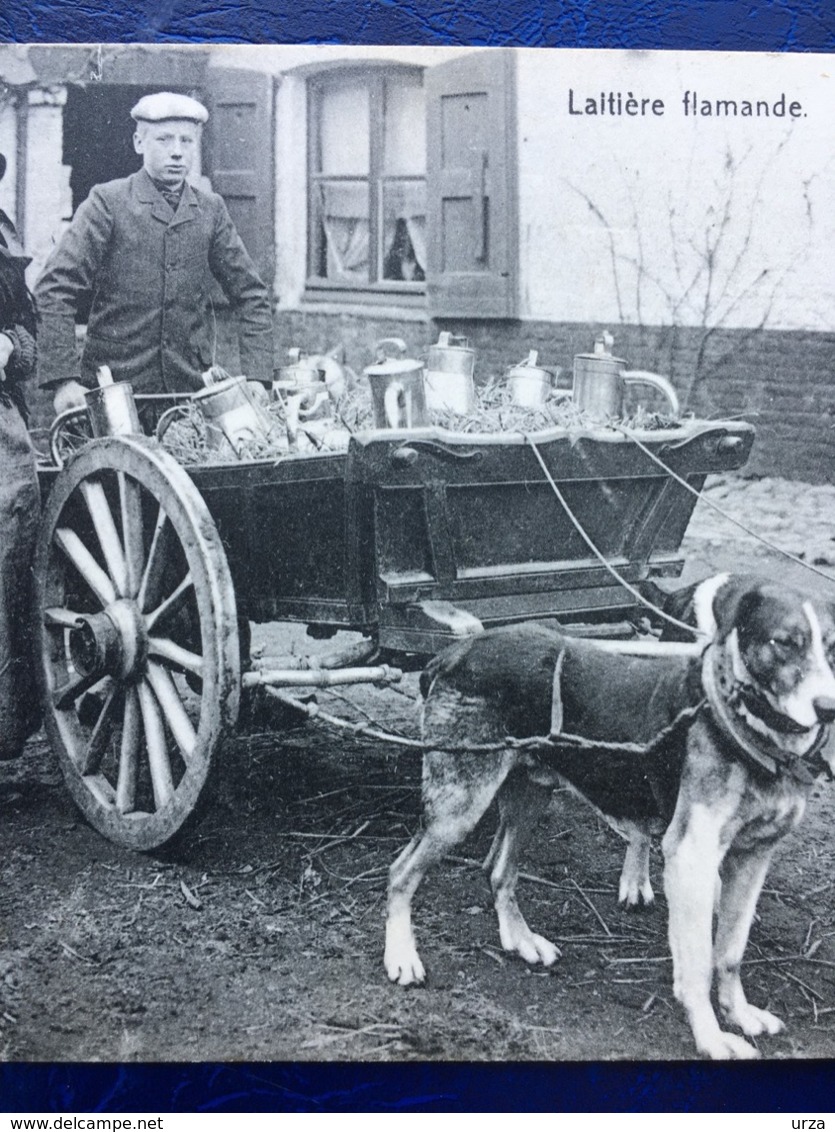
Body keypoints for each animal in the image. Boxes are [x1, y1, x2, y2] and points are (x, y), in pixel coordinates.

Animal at [384, 584, 832, 1059]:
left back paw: (521, 940)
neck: (744, 724)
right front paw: (711, 1037)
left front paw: (740, 1014)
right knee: (401, 873)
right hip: (459, 807)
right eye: (784, 642)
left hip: (530, 796)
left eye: (833, 646)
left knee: (500, 872)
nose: (827, 708)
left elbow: (730, 952)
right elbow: (697, 966)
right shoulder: (691, 859)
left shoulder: (753, 858)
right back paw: (401, 956)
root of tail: (454, 652)